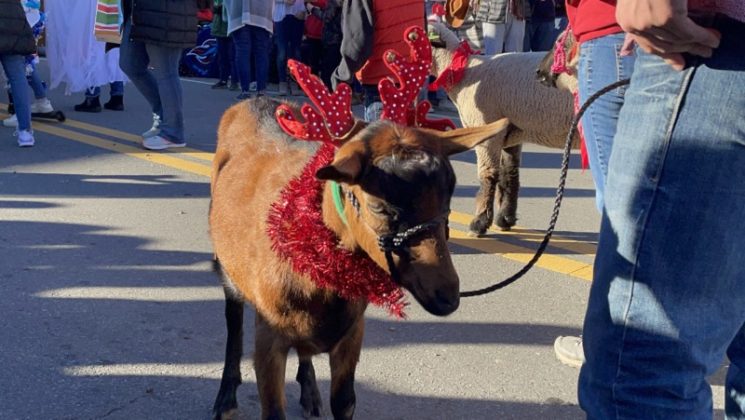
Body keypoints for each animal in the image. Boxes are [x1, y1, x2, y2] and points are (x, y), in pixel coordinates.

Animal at [209, 96, 512, 420]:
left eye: (448, 200)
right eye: (379, 207)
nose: (447, 296)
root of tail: (253, 101)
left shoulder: (353, 331)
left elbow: (344, 401)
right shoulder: (269, 335)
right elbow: (274, 411)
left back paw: (310, 394)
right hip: (227, 268)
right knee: (233, 322)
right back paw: (226, 398)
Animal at [428, 22, 580, 236]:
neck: (466, 72)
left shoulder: (485, 127)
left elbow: (488, 175)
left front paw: (479, 223)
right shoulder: (512, 132)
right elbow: (509, 174)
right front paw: (505, 218)